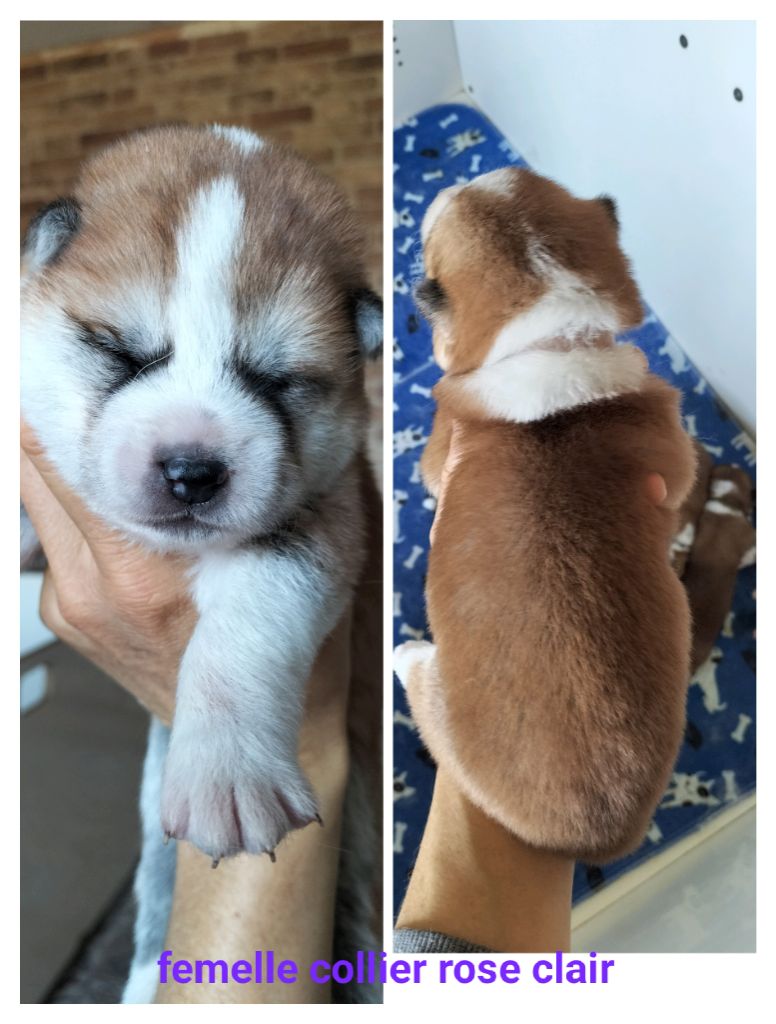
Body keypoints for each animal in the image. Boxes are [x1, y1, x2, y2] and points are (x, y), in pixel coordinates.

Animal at [21, 124, 382, 1000]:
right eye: (119, 351)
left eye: (279, 379)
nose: (192, 469)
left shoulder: (321, 526)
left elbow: (248, 620)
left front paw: (229, 772)